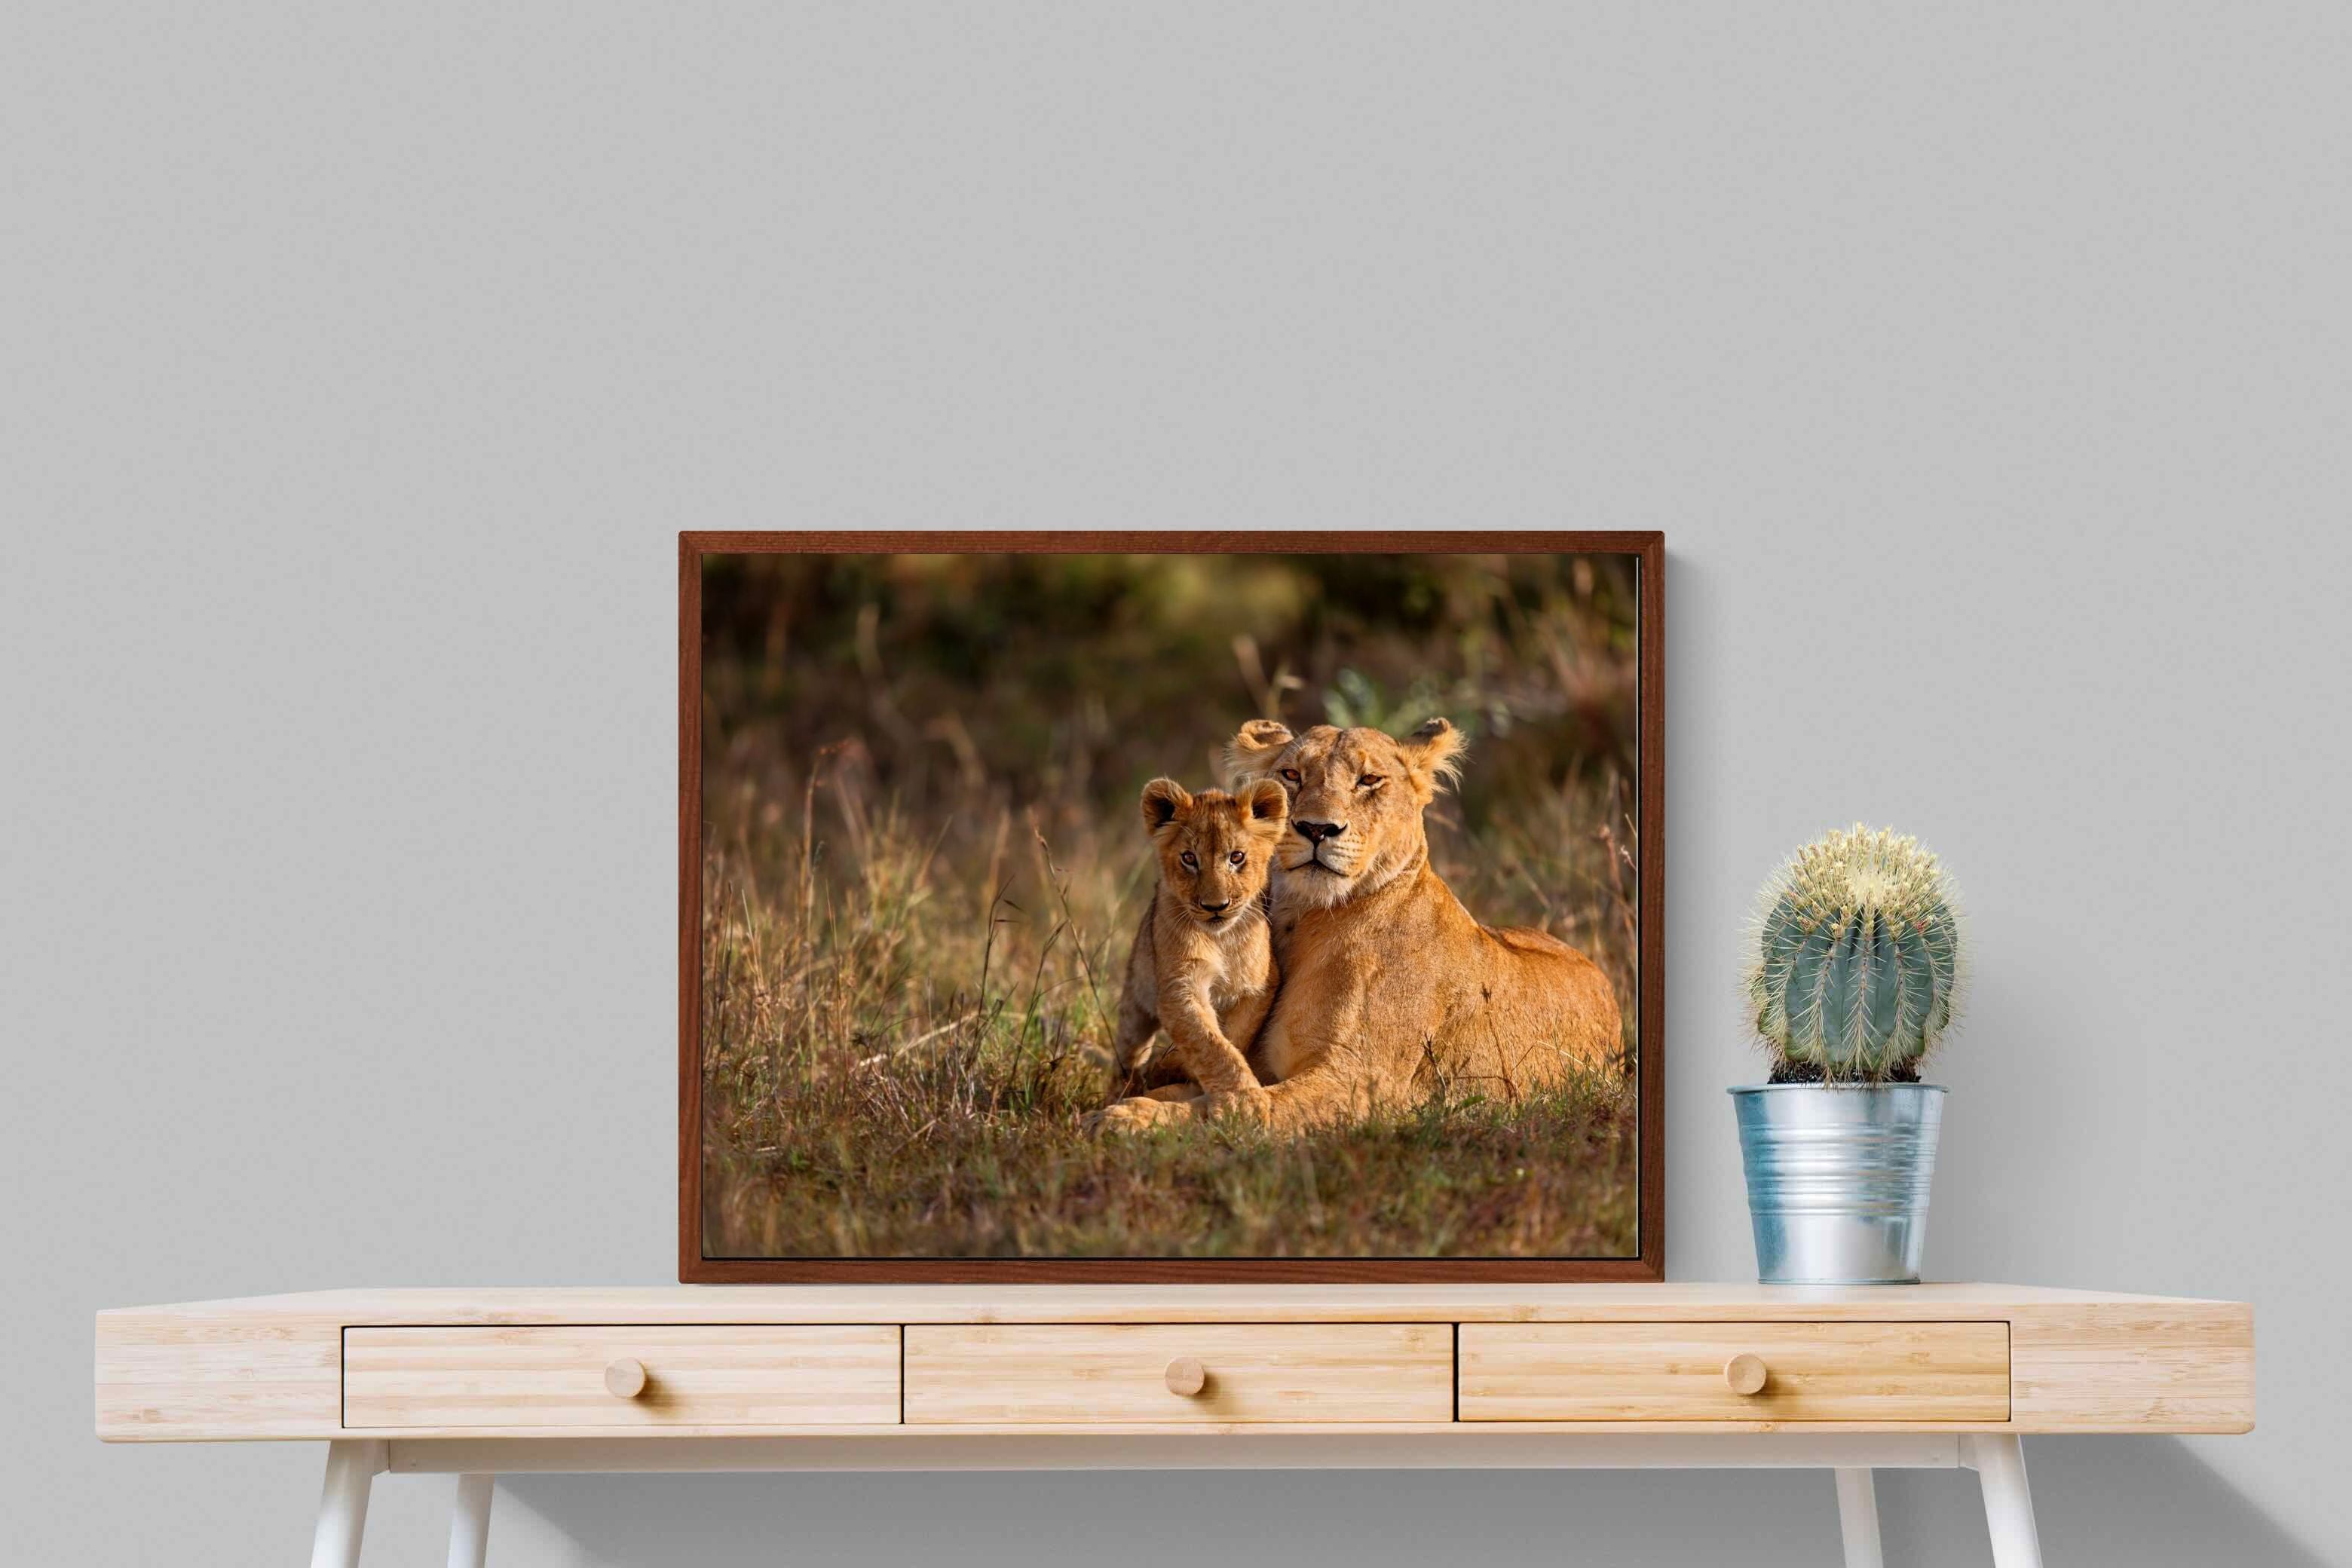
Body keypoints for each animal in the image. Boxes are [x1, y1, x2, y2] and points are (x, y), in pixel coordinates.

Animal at [1103, 777, 1290, 1104]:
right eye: (1189, 858)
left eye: (1236, 857)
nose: (1216, 906)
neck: (1222, 939)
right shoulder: (1180, 987)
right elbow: (1210, 1044)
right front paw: (1244, 1099)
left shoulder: (1259, 987)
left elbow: (1232, 1037)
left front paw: (1175, 1067)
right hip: (1135, 1003)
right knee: (1129, 1052)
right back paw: (1125, 1088)